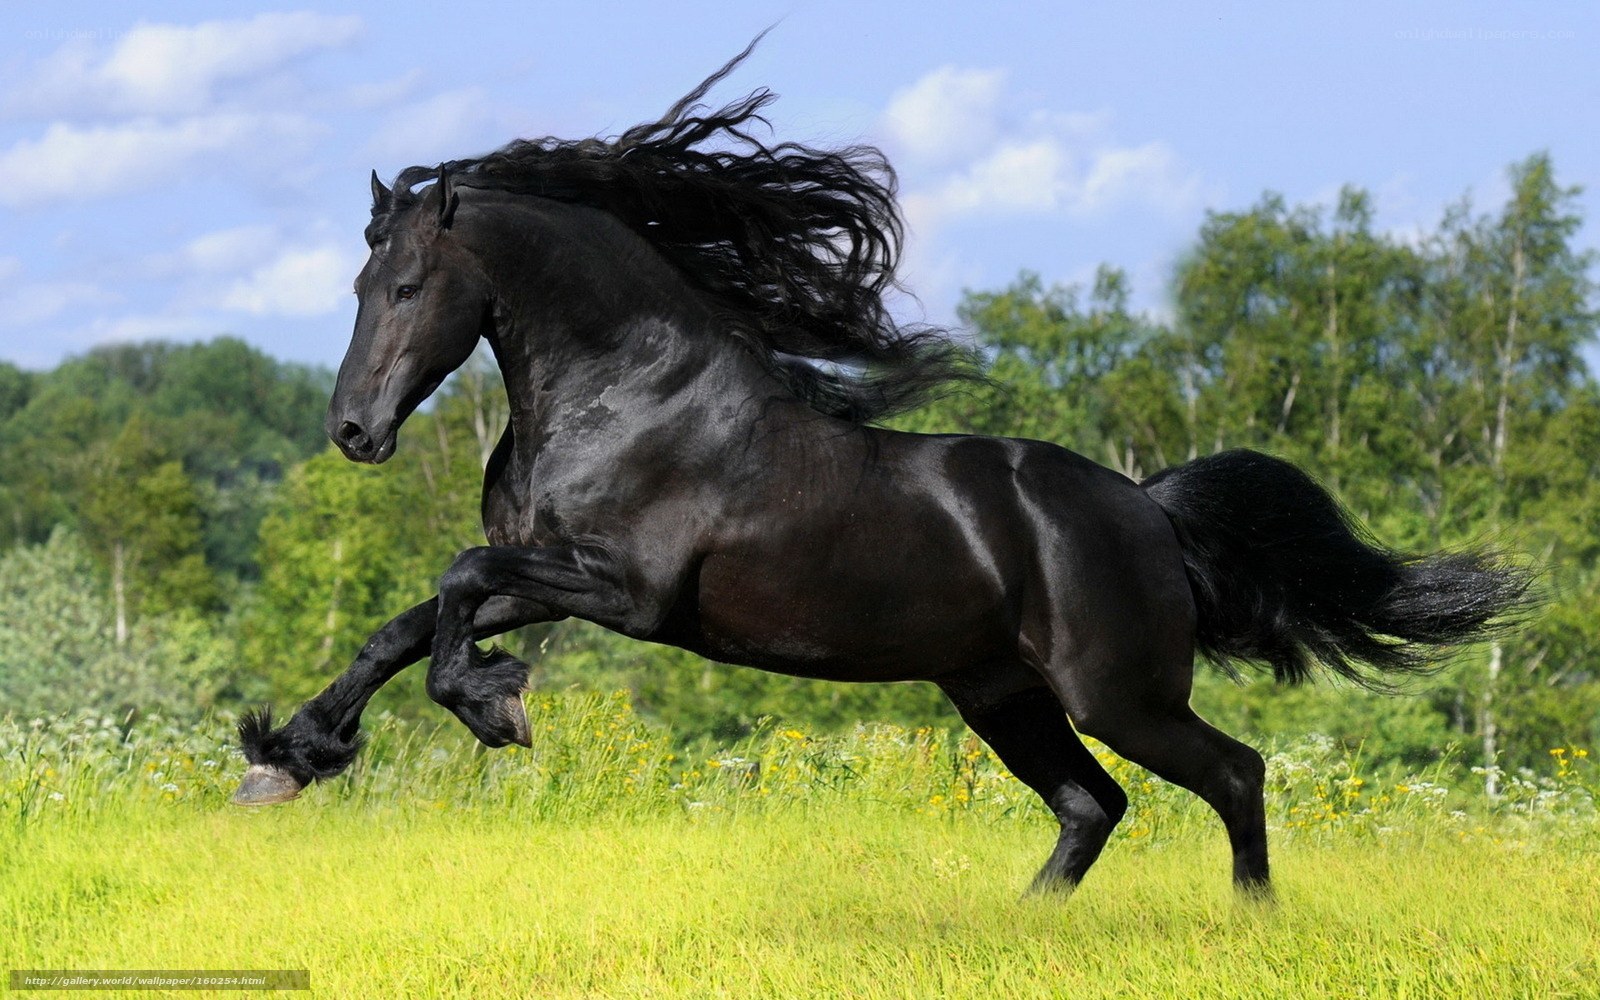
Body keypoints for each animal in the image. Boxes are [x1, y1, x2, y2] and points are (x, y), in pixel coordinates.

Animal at [233, 42, 1530, 897]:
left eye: (408, 285)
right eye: (358, 283)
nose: (354, 432)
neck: (628, 392)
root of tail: (1148, 511)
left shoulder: (626, 592)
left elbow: (453, 584)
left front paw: (493, 706)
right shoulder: (548, 570)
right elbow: (403, 625)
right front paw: (288, 758)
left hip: (1116, 693)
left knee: (1234, 772)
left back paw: (1249, 921)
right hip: (1000, 693)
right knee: (1092, 804)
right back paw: (1023, 929)